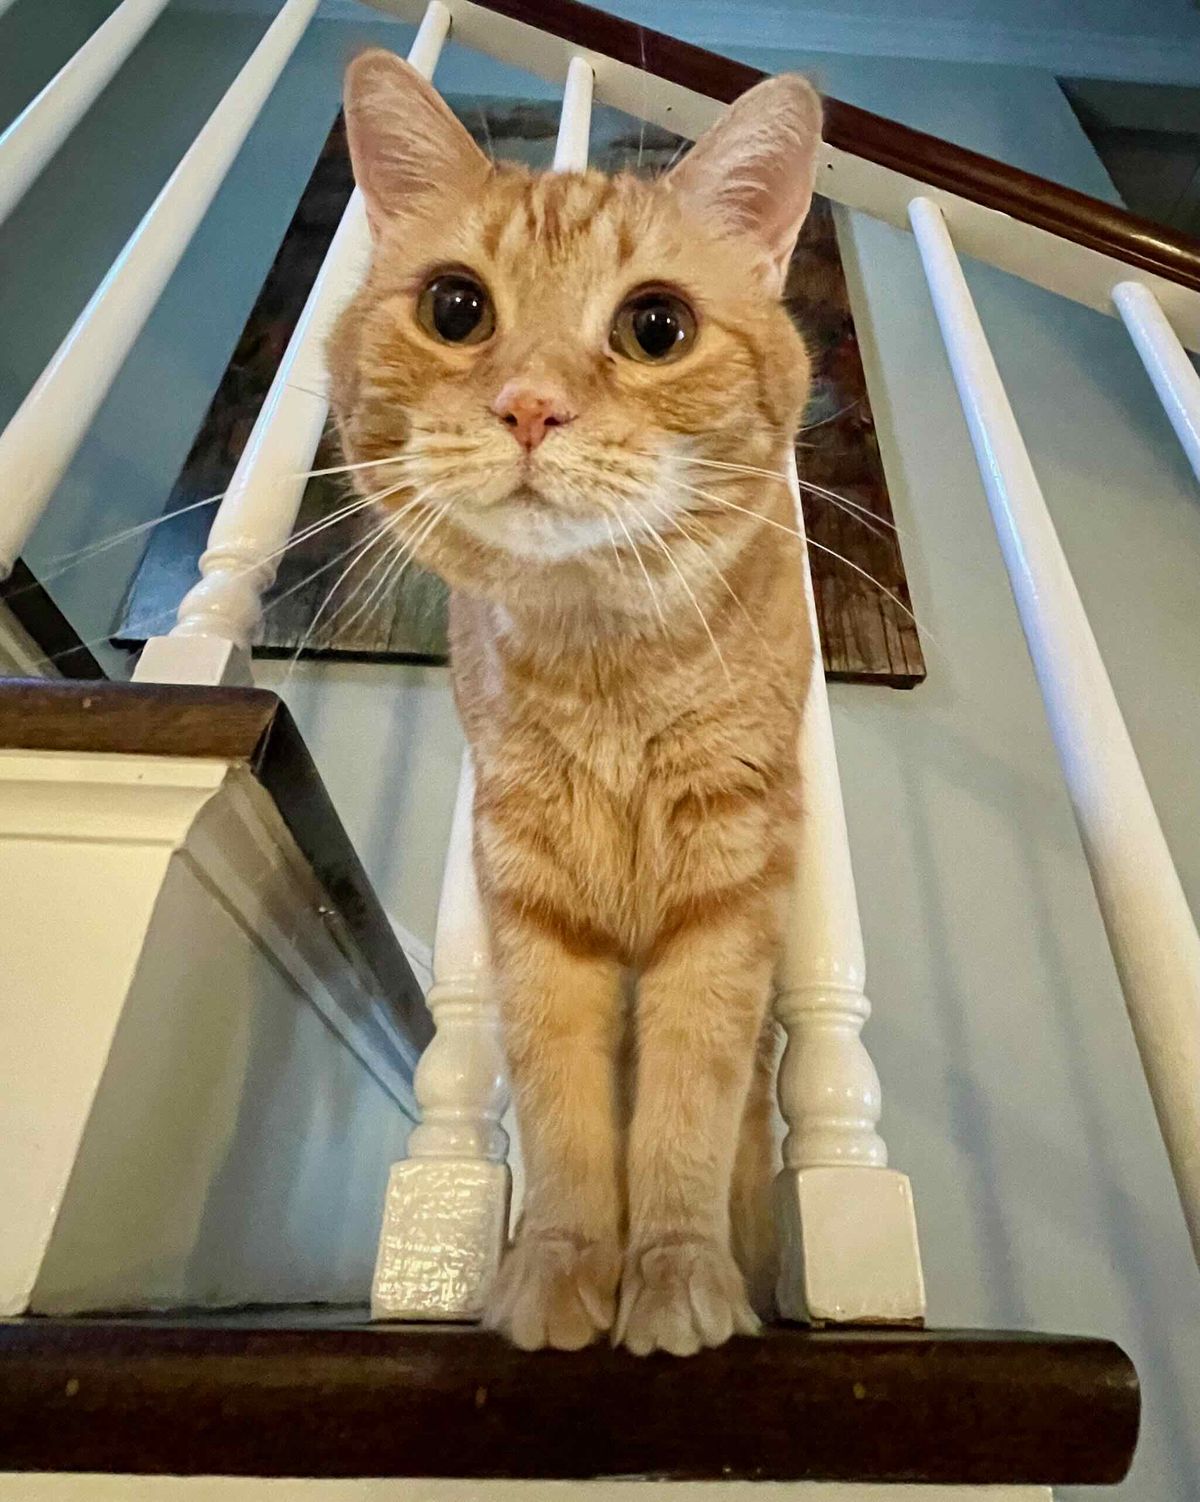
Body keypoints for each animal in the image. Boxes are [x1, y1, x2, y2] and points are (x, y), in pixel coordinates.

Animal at [333, 52, 829, 1357]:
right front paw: (559, 1268)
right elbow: (561, 1110)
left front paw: (676, 1275)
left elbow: (687, 1114)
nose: (529, 406)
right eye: (456, 307)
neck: (604, 659)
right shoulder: (529, 890)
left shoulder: (728, 881)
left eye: (656, 328)